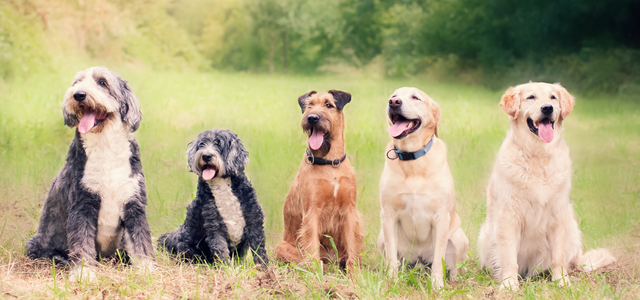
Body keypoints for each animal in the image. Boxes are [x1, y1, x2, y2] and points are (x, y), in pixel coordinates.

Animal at [25, 67, 156, 280]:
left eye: (102, 82)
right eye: (77, 82)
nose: (78, 94)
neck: (105, 145)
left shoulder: (133, 203)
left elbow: (141, 240)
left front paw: (146, 270)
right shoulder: (82, 204)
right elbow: (82, 243)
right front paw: (84, 273)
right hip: (34, 244)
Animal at [160, 130, 270, 266]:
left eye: (218, 144)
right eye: (202, 144)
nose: (206, 155)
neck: (221, 185)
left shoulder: (254, 220)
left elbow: (259, 248)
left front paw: (264, 267)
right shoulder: (214, 226)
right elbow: (220, 250)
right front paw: (226, 268)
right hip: (186, 244)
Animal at [378, 86, 468, 288]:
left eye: (415, 97)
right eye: (393, 96)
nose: (393, 102)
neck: (412, 158)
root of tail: (419, 261)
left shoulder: (441, 217)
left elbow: (438, 259)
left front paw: (437, 285)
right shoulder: (388, 214)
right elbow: (391, 257)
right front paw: (391, 281)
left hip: (458, 237)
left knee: (453, 266)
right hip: (381, 238)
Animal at [478, 82, 616, 290]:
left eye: (553, 98)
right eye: (531, 97)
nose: (547, 108)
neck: (538, 154)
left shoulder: (558, 214)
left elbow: (558, 257)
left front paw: (562, 281)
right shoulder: (508, 216)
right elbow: (509, 257)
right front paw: (509, 284)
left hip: (571, 227)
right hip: (485, 235)